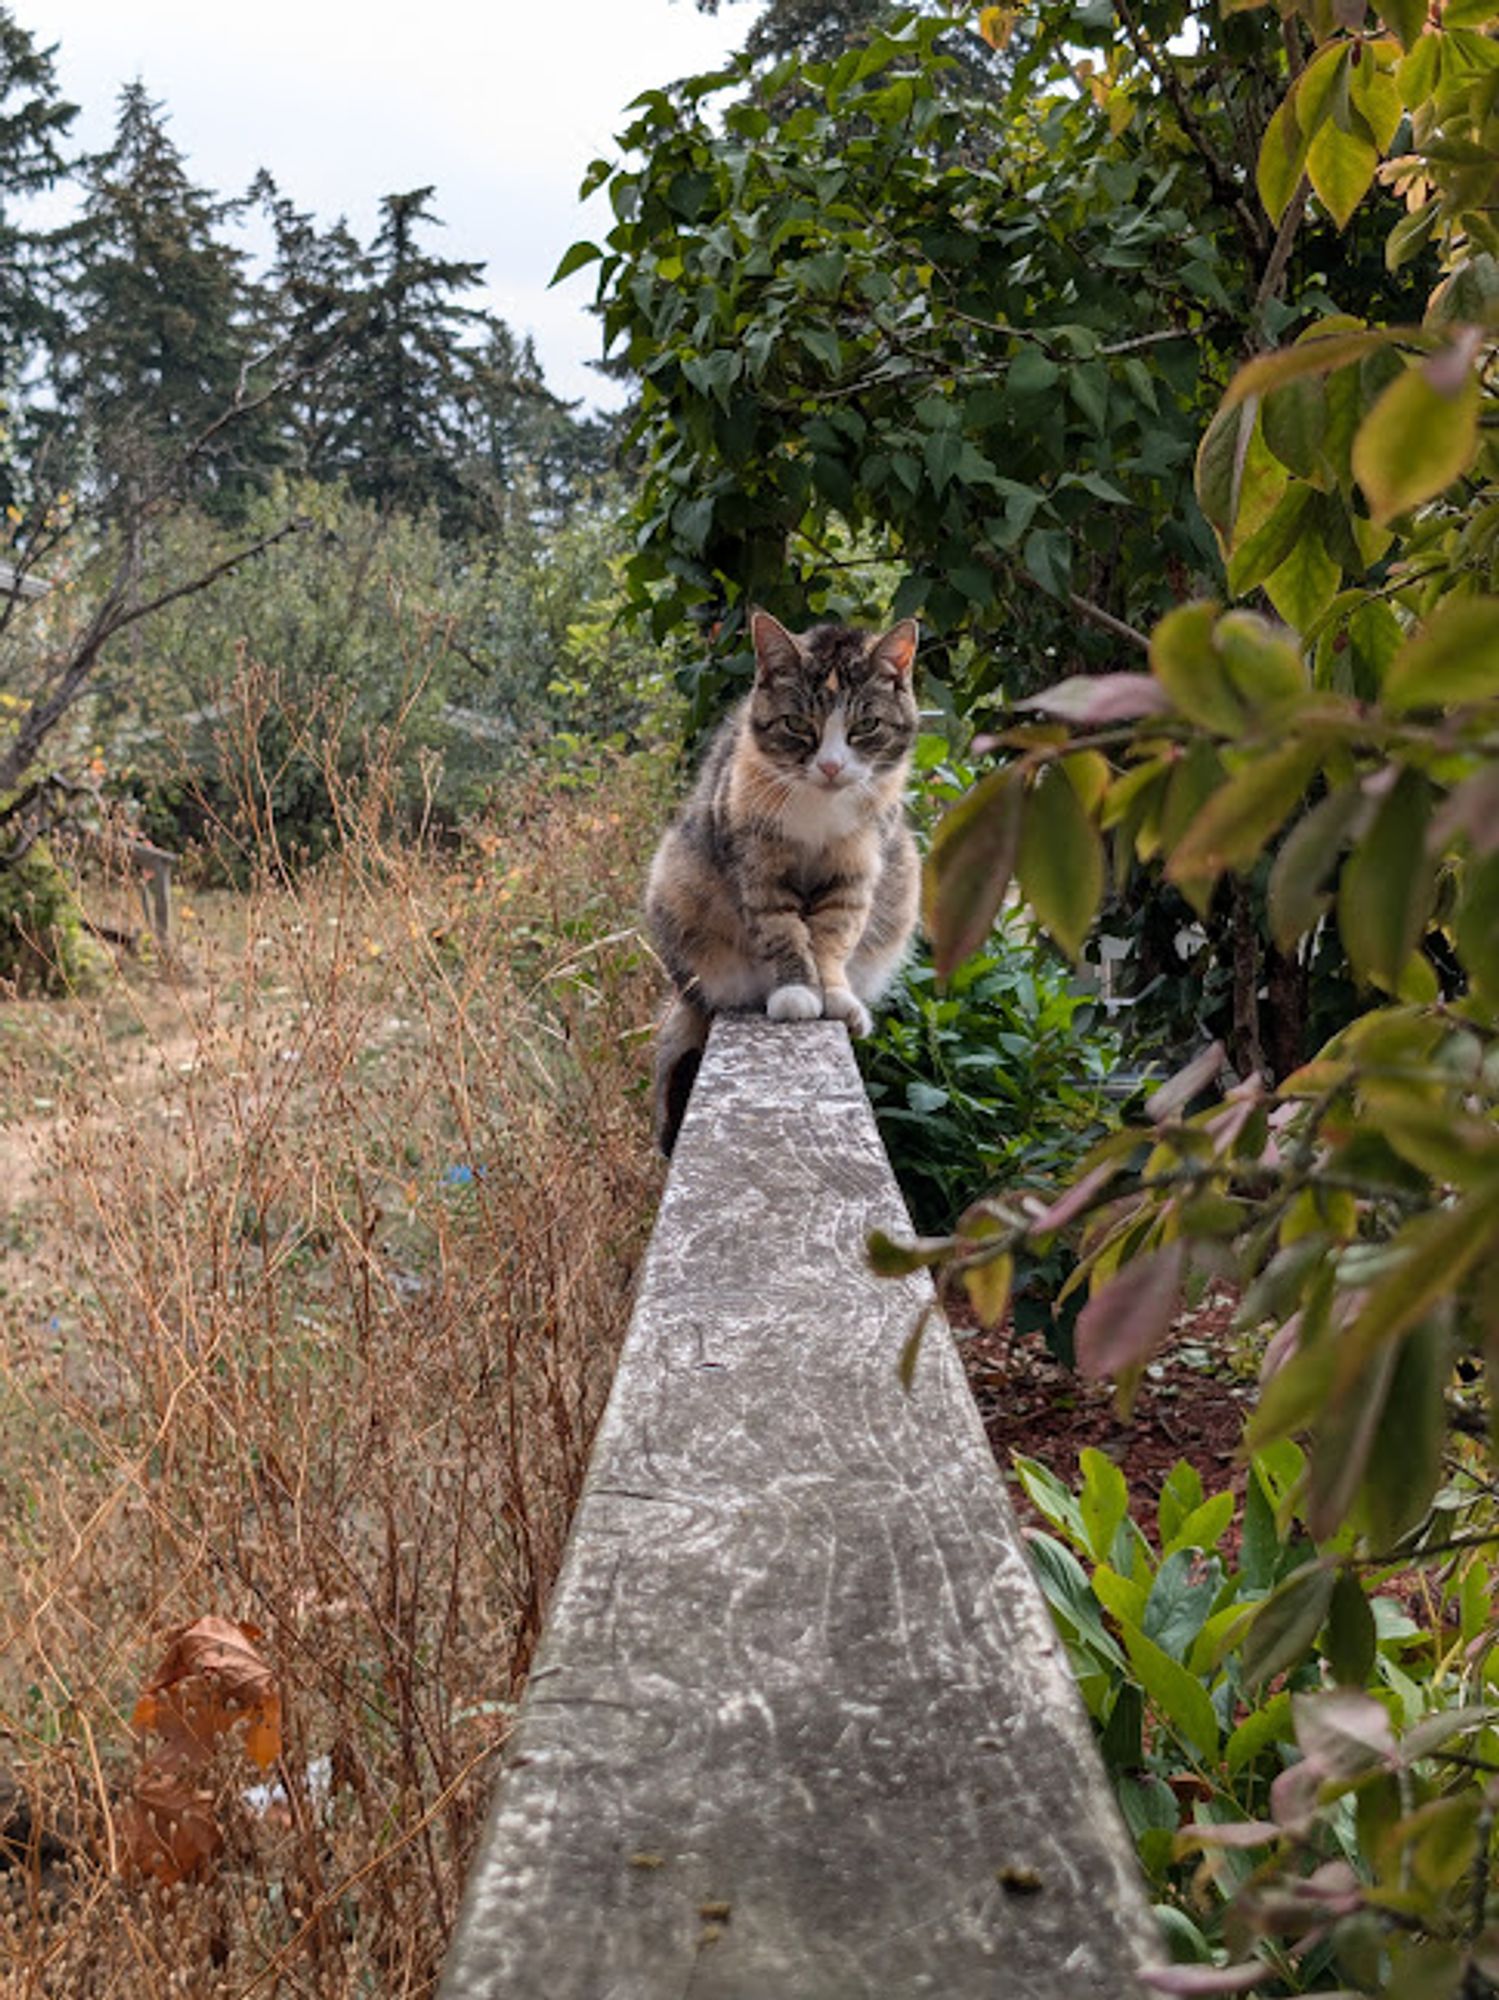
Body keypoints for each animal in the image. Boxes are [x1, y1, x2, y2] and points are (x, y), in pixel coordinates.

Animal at [647, 612, 923, 1160]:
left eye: (865, 726)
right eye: (798, 724)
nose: (832, 766)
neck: (820, 809)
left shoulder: (856, 868)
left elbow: (834, 934)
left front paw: (832, 993)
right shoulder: (758, 865)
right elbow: (782, 931)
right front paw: (797, 991)